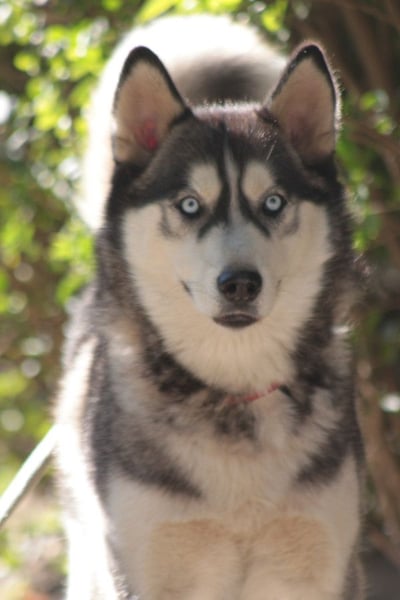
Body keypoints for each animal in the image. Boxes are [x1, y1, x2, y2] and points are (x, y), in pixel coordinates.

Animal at [55, 14, 364, 600]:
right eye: (190, 205)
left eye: (273, 203)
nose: (239, 283)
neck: (233, 391)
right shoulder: (145, 568)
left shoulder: (316, 565)